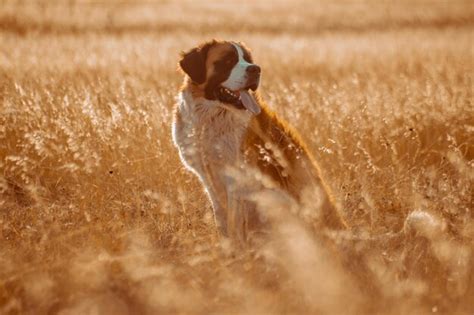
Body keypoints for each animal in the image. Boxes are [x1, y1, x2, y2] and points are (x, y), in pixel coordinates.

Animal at [172, 40, 346, 242]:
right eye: (228, 60)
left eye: (248, 59)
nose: (255, 69)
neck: (212, 116)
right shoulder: (208, 177)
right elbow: (221, 218)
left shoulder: (236, 178)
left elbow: (234, 221)